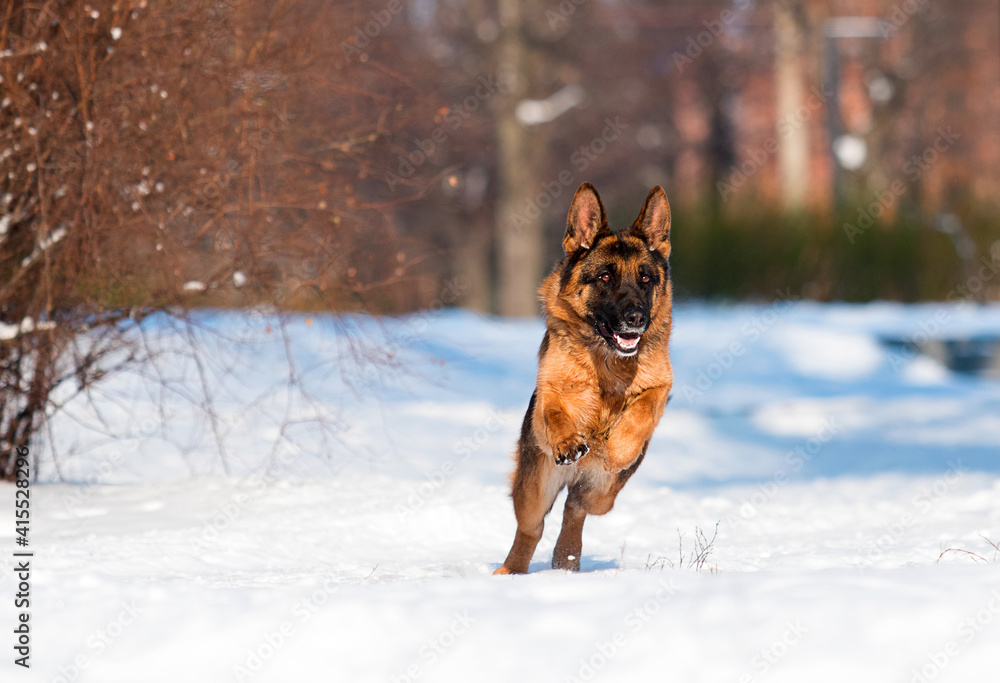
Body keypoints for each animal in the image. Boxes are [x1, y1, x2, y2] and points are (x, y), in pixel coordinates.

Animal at [492, 183, 672, 576]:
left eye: (646, 278)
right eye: (605, 277)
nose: (637, 319)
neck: (606, 361)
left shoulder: (662, 387)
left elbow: (643, 408)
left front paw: (618, 446)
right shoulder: (549, 391)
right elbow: (555, 411)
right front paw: (569, 441)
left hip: (604, 493)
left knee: (575, 507)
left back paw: (567, 559)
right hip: (534, 490)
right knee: (531, 527)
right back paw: (511, 571)